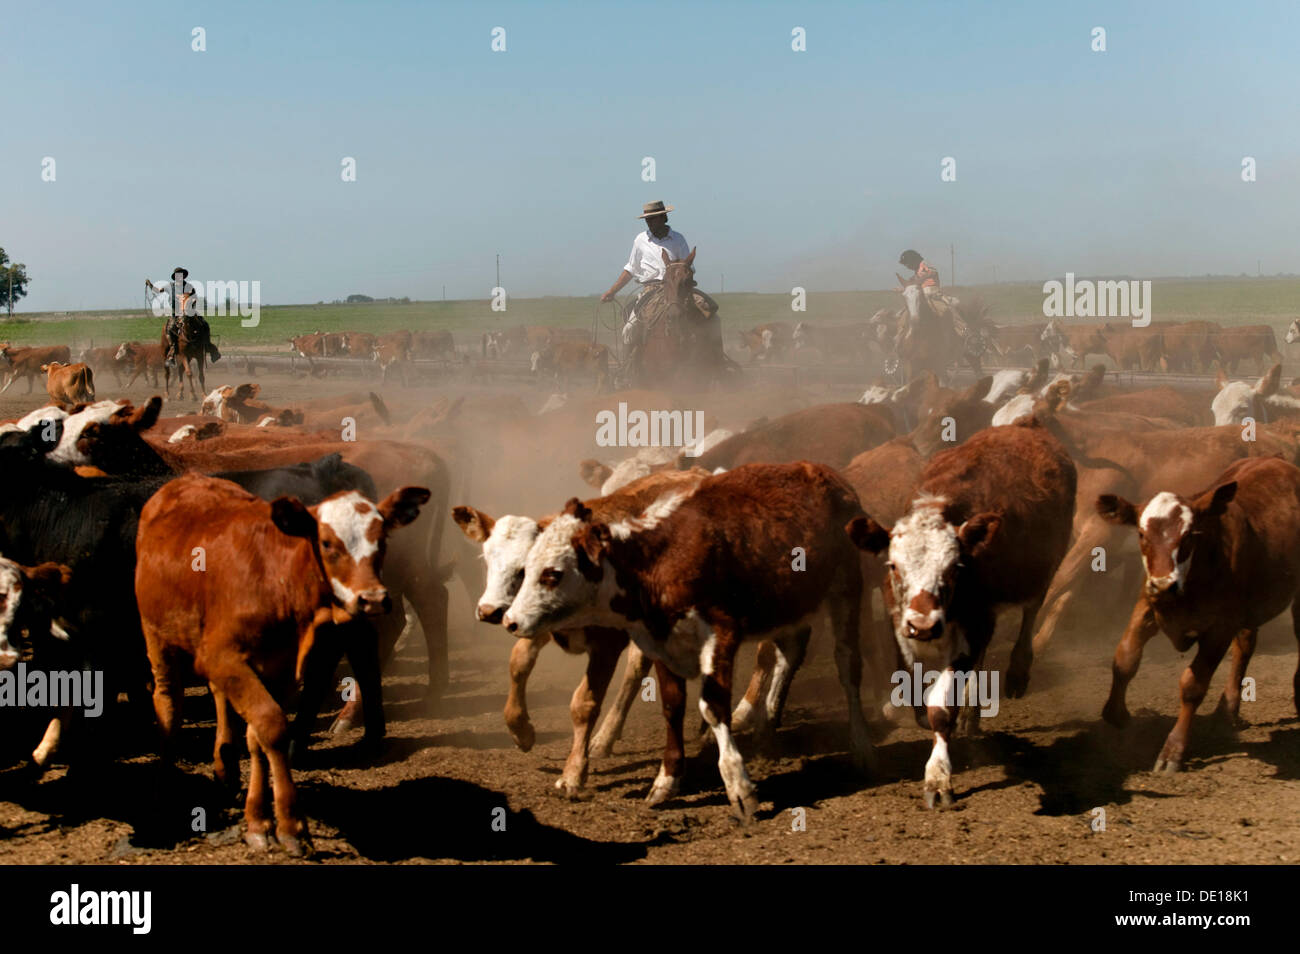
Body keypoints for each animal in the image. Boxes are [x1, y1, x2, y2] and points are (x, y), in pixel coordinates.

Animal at [139, 475, 428, 857]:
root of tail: (184, 481)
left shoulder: (278, 667)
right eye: (326, 543)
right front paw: (291, 826)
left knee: (219, 699)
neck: (275, 577)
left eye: (382, 540)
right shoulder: (223, 657)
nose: (373, 599)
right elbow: (272, 727)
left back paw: (225, 766)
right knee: (169, 705)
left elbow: (257, 735)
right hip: (156, 637)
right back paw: (164, 786)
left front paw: (259, 821)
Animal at [501, 462, 878, 821]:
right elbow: (672, 706)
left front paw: (739, 787)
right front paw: (666, 781)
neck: (658, 562)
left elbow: (712, 706)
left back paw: (861, 745)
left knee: (848, 665)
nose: (510, 621)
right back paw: (767, 730)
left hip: (845, 588)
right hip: (790, 607)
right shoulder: (659, 643)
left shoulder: (721, 634)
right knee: (790, 654)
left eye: (553, 574)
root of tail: (829, 476)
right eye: (525, 569)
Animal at [1102, 457, 1300, 779]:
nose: (1164, 584)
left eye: (1189, 535)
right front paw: (1116, 714)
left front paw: (1173, 751)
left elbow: (1192, 686)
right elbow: (1125, 659)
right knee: (1245, 645)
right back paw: (1226, 710)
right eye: (1142, 534)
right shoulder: (1148, 605)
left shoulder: (1220, 628)